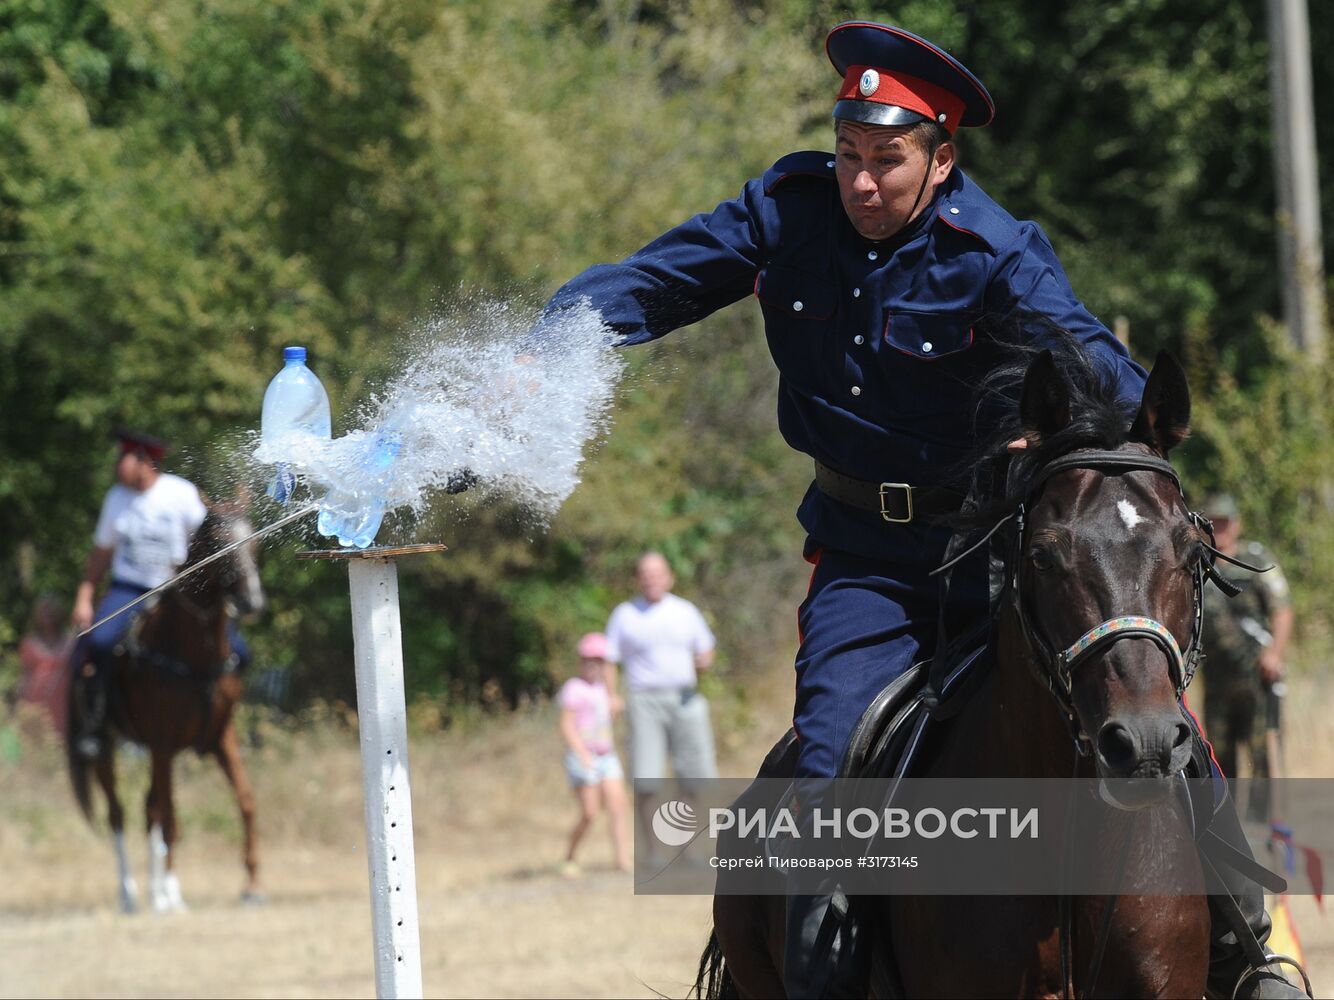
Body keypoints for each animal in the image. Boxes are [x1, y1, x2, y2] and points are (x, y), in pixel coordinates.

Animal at [69, 509, 266, 917]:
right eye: (219, 545)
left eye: (254, 542)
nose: (252, 601)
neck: (193, 655)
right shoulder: (163, 742)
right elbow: (172, 817)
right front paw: (173, 894)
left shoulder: (221, 738)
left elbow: (246, 801)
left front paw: (253, 884)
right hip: (108, 748)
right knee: (119, 813)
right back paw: (129, 894)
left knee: (150, 811)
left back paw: (153, 891)